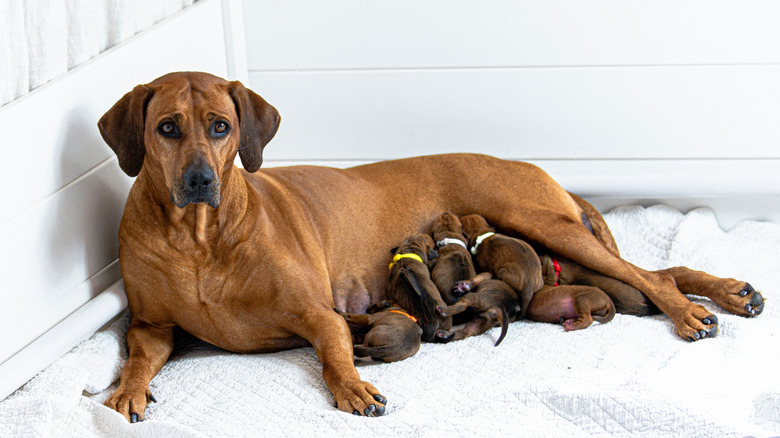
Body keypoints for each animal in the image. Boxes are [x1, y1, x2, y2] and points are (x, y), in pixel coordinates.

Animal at [96, 71, 760, 420]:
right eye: (167, 128)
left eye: (221, 127)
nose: (199, 181)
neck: (200, 239)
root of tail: (531, 167)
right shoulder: (151, 326)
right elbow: (136, 355)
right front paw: (126, 391)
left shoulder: (317, 313)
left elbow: (331, 351)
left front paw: (352, 385)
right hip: (559, 244)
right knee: (651, 270)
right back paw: (727, 291)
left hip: (543, 222)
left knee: (654, 277)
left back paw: (695, 310)